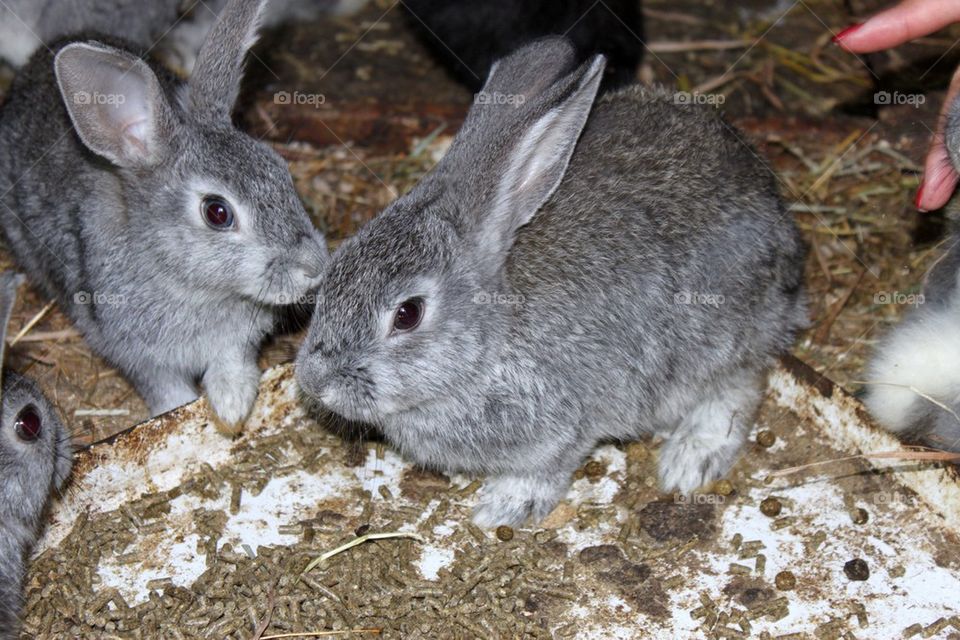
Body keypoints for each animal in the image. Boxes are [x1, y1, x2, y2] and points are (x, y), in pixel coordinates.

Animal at [0, 0, 329, 434]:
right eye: (217, 212)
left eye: (280, 170)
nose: (314, 267)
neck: (190, 283)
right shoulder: (138, 356)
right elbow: (168, 392)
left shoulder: (235, 343)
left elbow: (231, 364)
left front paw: (232, 407)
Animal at [295, 37, 807, 527]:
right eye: (334, 272)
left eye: (407, 314)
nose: (314, 382)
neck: (490, 339)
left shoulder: (567, 426)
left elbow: (545, 469)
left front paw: (502, 508)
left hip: (721, 342)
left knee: (740, 387)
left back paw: (689, 460)